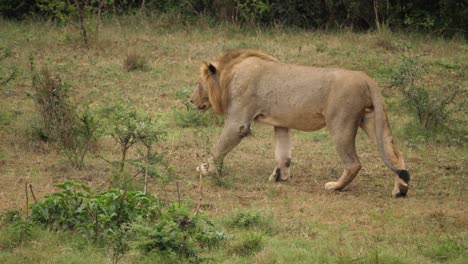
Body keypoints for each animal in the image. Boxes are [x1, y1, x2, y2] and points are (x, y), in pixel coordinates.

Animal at [190, 50, 410, 198]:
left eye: (198, 84)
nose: (191, 100)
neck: (229, 74)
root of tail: (367, 78)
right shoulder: (281, 123)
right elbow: (283, 153)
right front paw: (280, 176)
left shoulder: (238, 122)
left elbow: (218, 148)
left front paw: (205, 169)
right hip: (371, 119)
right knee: (395, 153)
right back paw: (400, 189)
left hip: (340, 123)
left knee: (354, 163)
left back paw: (335, 187)